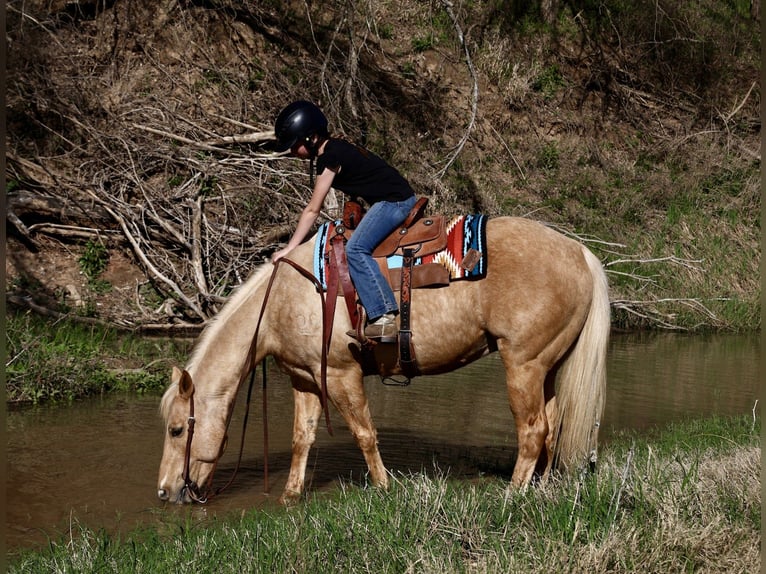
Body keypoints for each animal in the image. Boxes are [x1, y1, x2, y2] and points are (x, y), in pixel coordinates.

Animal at [157, 216, 610, 505]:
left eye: (178, 429)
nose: (164, 491)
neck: (286, 298)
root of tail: (579, 252)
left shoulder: (342, 375)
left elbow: (365, 434)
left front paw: (383, 487)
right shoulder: (306, 379)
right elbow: (302, 438)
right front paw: (290, 495)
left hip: (522, 365)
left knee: (533, 431)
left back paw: (513, 494)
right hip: (546, 368)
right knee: (550, 426)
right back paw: (540, 488)